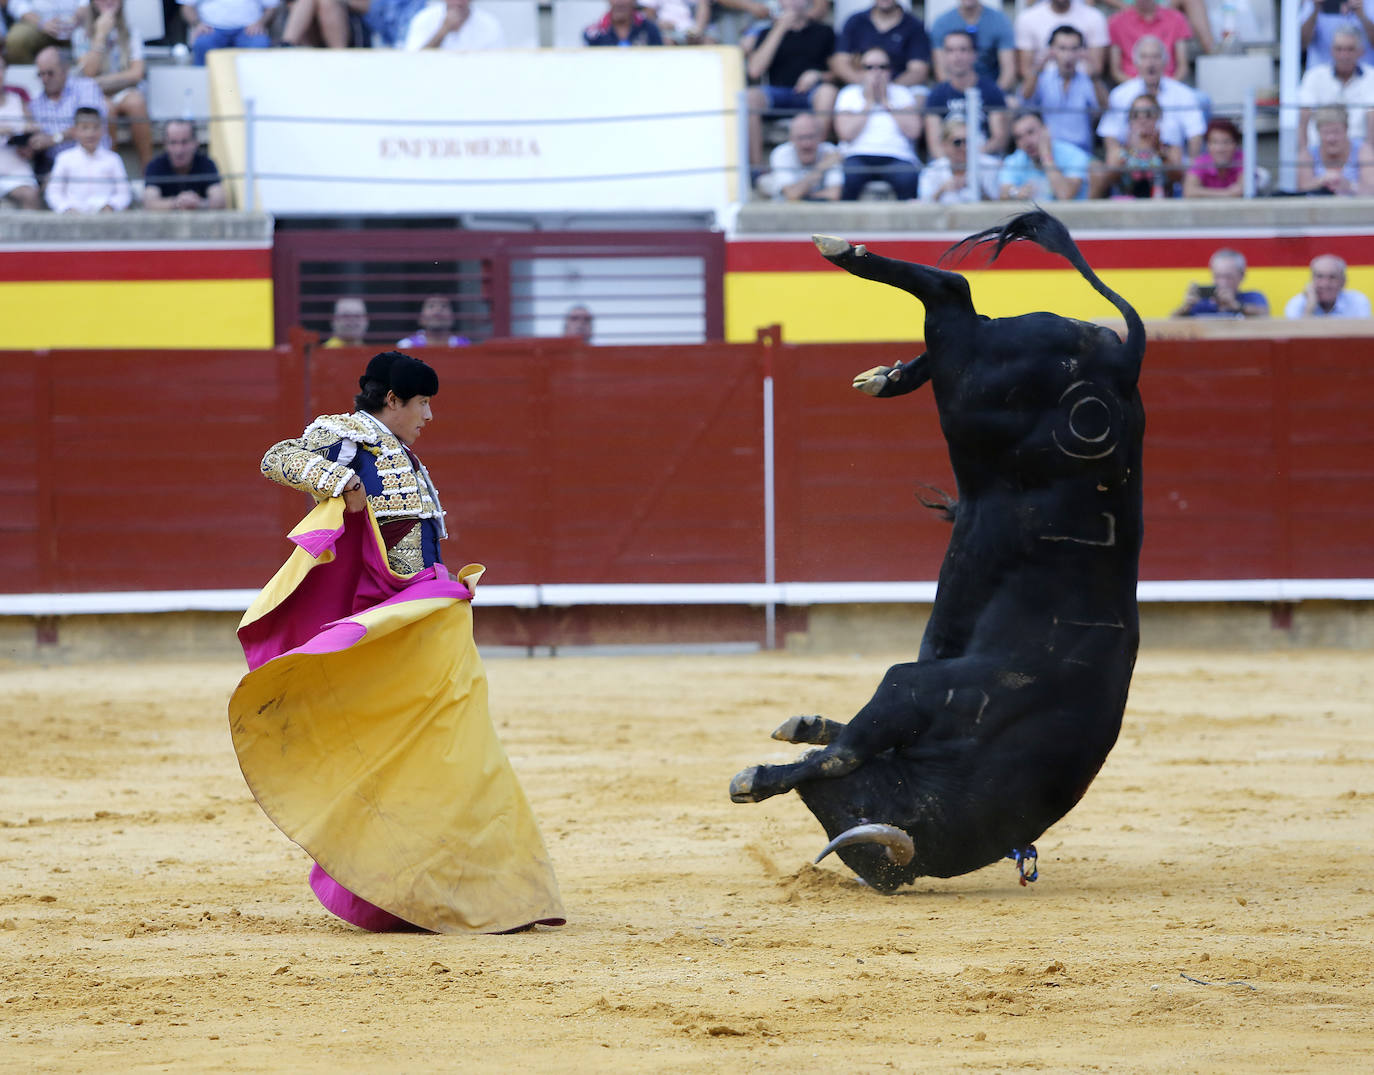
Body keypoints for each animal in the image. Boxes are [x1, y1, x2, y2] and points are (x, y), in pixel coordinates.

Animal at [730, 210, 1148, 890]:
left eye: (850, 813)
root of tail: (1125, 360)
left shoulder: (911, 692)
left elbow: (843, 750)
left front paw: (770, 764)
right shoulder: (913, 690)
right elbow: (849, 745)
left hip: (973, 387)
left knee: (957, 303)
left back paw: (884, 360)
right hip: (974, 386)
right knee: (954, 293)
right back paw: (860, 293)